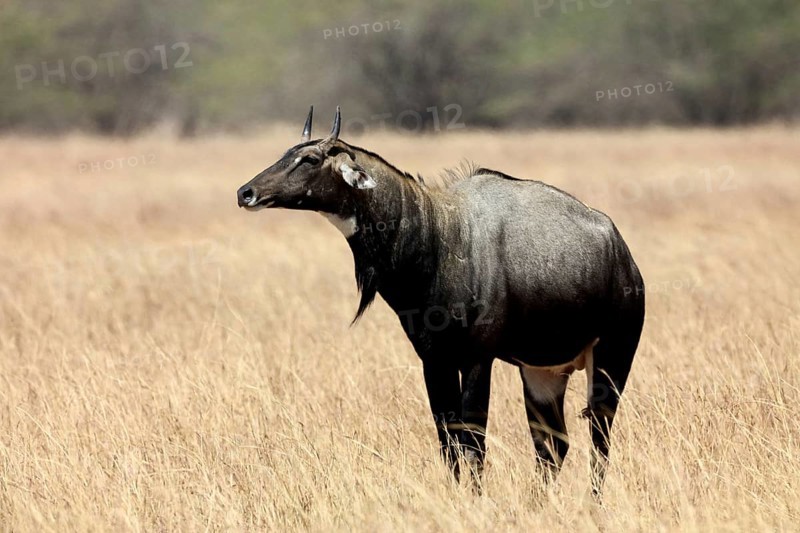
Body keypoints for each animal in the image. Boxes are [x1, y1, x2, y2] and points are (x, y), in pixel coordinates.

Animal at [236, 107, 645, 498]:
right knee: (552, 447)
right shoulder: (434, 359)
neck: (435, 235)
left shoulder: (478, 358)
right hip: (542, 373)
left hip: (610, 362)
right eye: (286, 152)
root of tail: (622, 253)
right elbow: (448, 442)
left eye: (310, 159)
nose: (246, 193)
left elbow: (473, 442)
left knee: (599, 439)